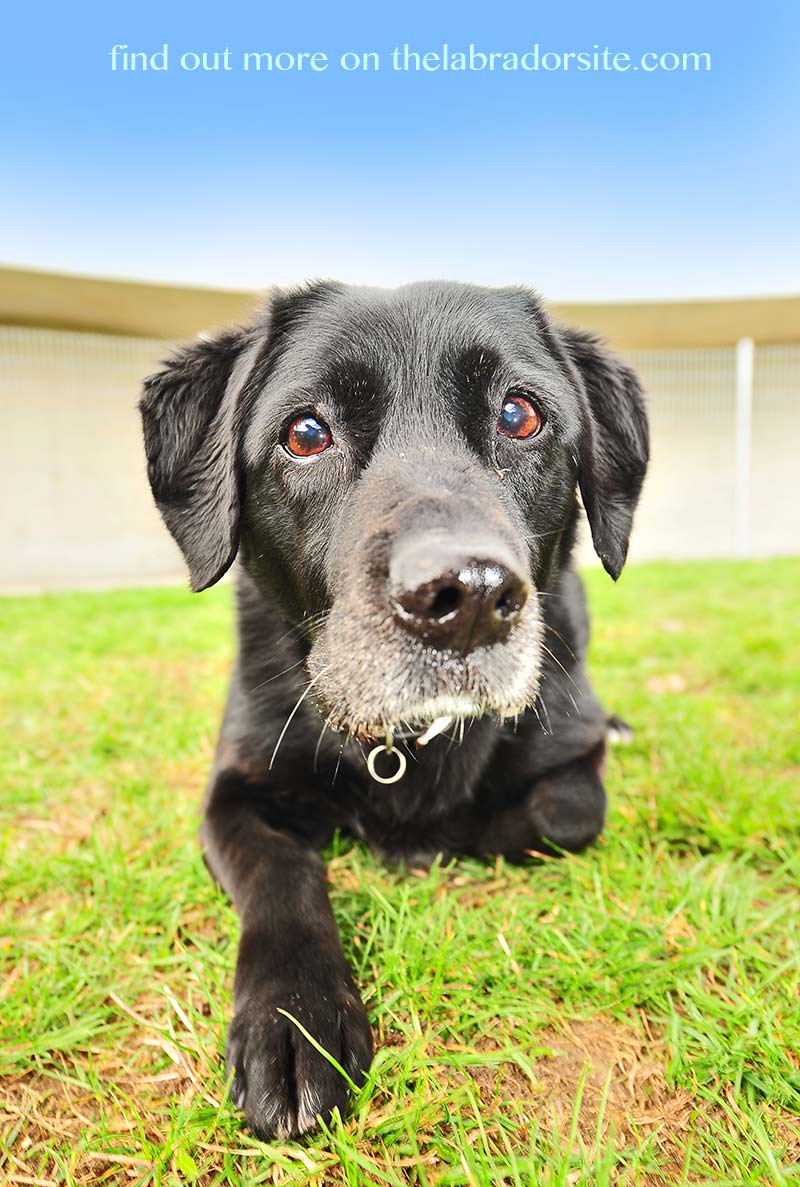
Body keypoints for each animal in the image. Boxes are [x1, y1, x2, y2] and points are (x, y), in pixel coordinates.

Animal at [138, 277, 645, 1139]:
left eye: (520, 415)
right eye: (307, 433)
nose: (465, 598)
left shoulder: (569, 753)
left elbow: (564, 814)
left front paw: (435, 835)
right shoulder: (233, 787)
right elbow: (282, 866)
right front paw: (292, 1020)